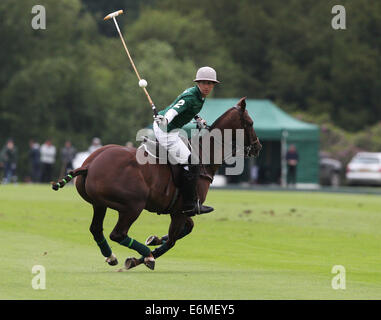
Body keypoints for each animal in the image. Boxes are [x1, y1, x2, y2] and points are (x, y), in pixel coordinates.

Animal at [52, 97, 262, 270]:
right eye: (250, 123)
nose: (258, 147)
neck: (204, 156)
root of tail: (89, 165)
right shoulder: (181, 211)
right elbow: (172, 241)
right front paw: (140, 258)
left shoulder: (181, 210)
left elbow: (187, 229)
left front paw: (153, 239)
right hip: (132, 205)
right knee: (118, 234)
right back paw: (145, 255)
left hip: (99, 204)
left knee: (96, 229)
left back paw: (111, 256)